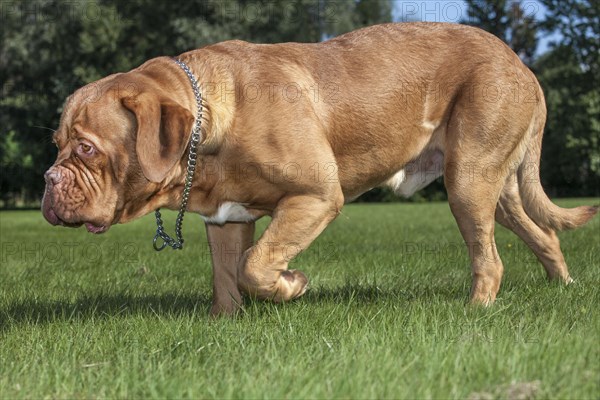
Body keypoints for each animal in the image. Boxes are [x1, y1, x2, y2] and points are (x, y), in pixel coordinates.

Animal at [41, 21, 596, 316]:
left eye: (87, 149)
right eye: (57, 144)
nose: (49, 180)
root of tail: (520, 63)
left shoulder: (315, 196)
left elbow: (256, 265)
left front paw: (294, 283)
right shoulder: (226, 218)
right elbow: (227, 275)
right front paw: (225, 323)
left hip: (468, 181)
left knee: (489, 258)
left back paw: (476, 309)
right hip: (492, 186)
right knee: (541, 232)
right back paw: (563, 286)